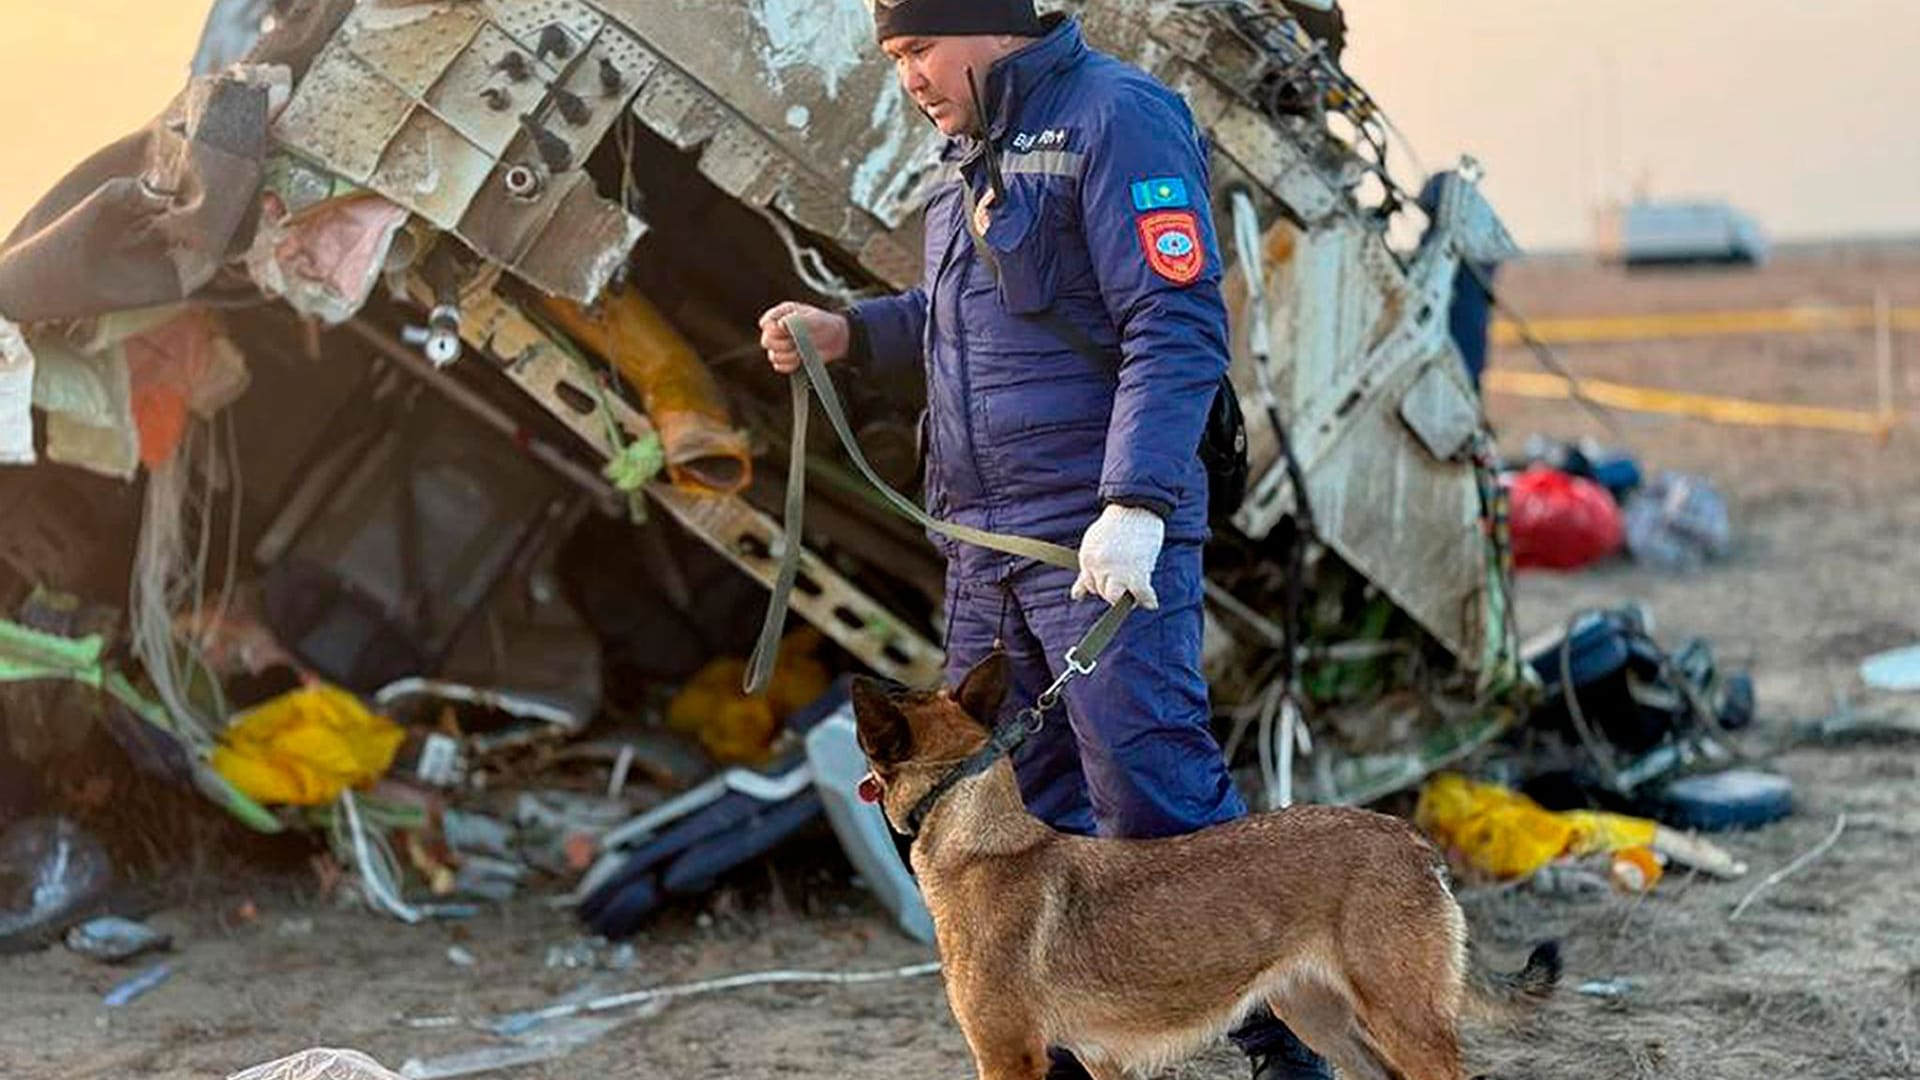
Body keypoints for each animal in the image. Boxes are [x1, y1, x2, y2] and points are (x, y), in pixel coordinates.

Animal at [856, 645, 1559, 1076]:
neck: (978, 835)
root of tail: (1410, 840)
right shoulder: (1100, 1061)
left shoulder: (1008, 1057)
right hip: (1320, 1017)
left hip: (1403, 1021)